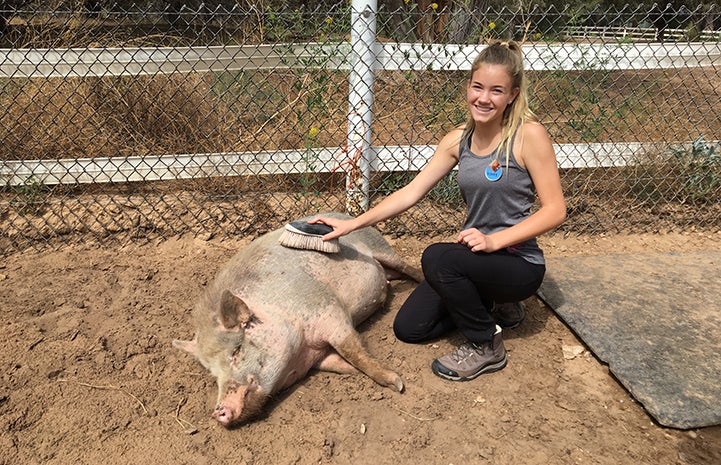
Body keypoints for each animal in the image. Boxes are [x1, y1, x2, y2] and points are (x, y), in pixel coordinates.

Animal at [173, 212, 422, 426]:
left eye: (236, 351)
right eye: (213, 372)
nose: (218, 412)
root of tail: (344, 214)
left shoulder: (328, 311)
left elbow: (353, 351)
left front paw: (397, 384)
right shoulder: (317, 356)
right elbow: (340, 363)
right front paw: (354, 372)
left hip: (381, 247)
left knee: (406, 266)